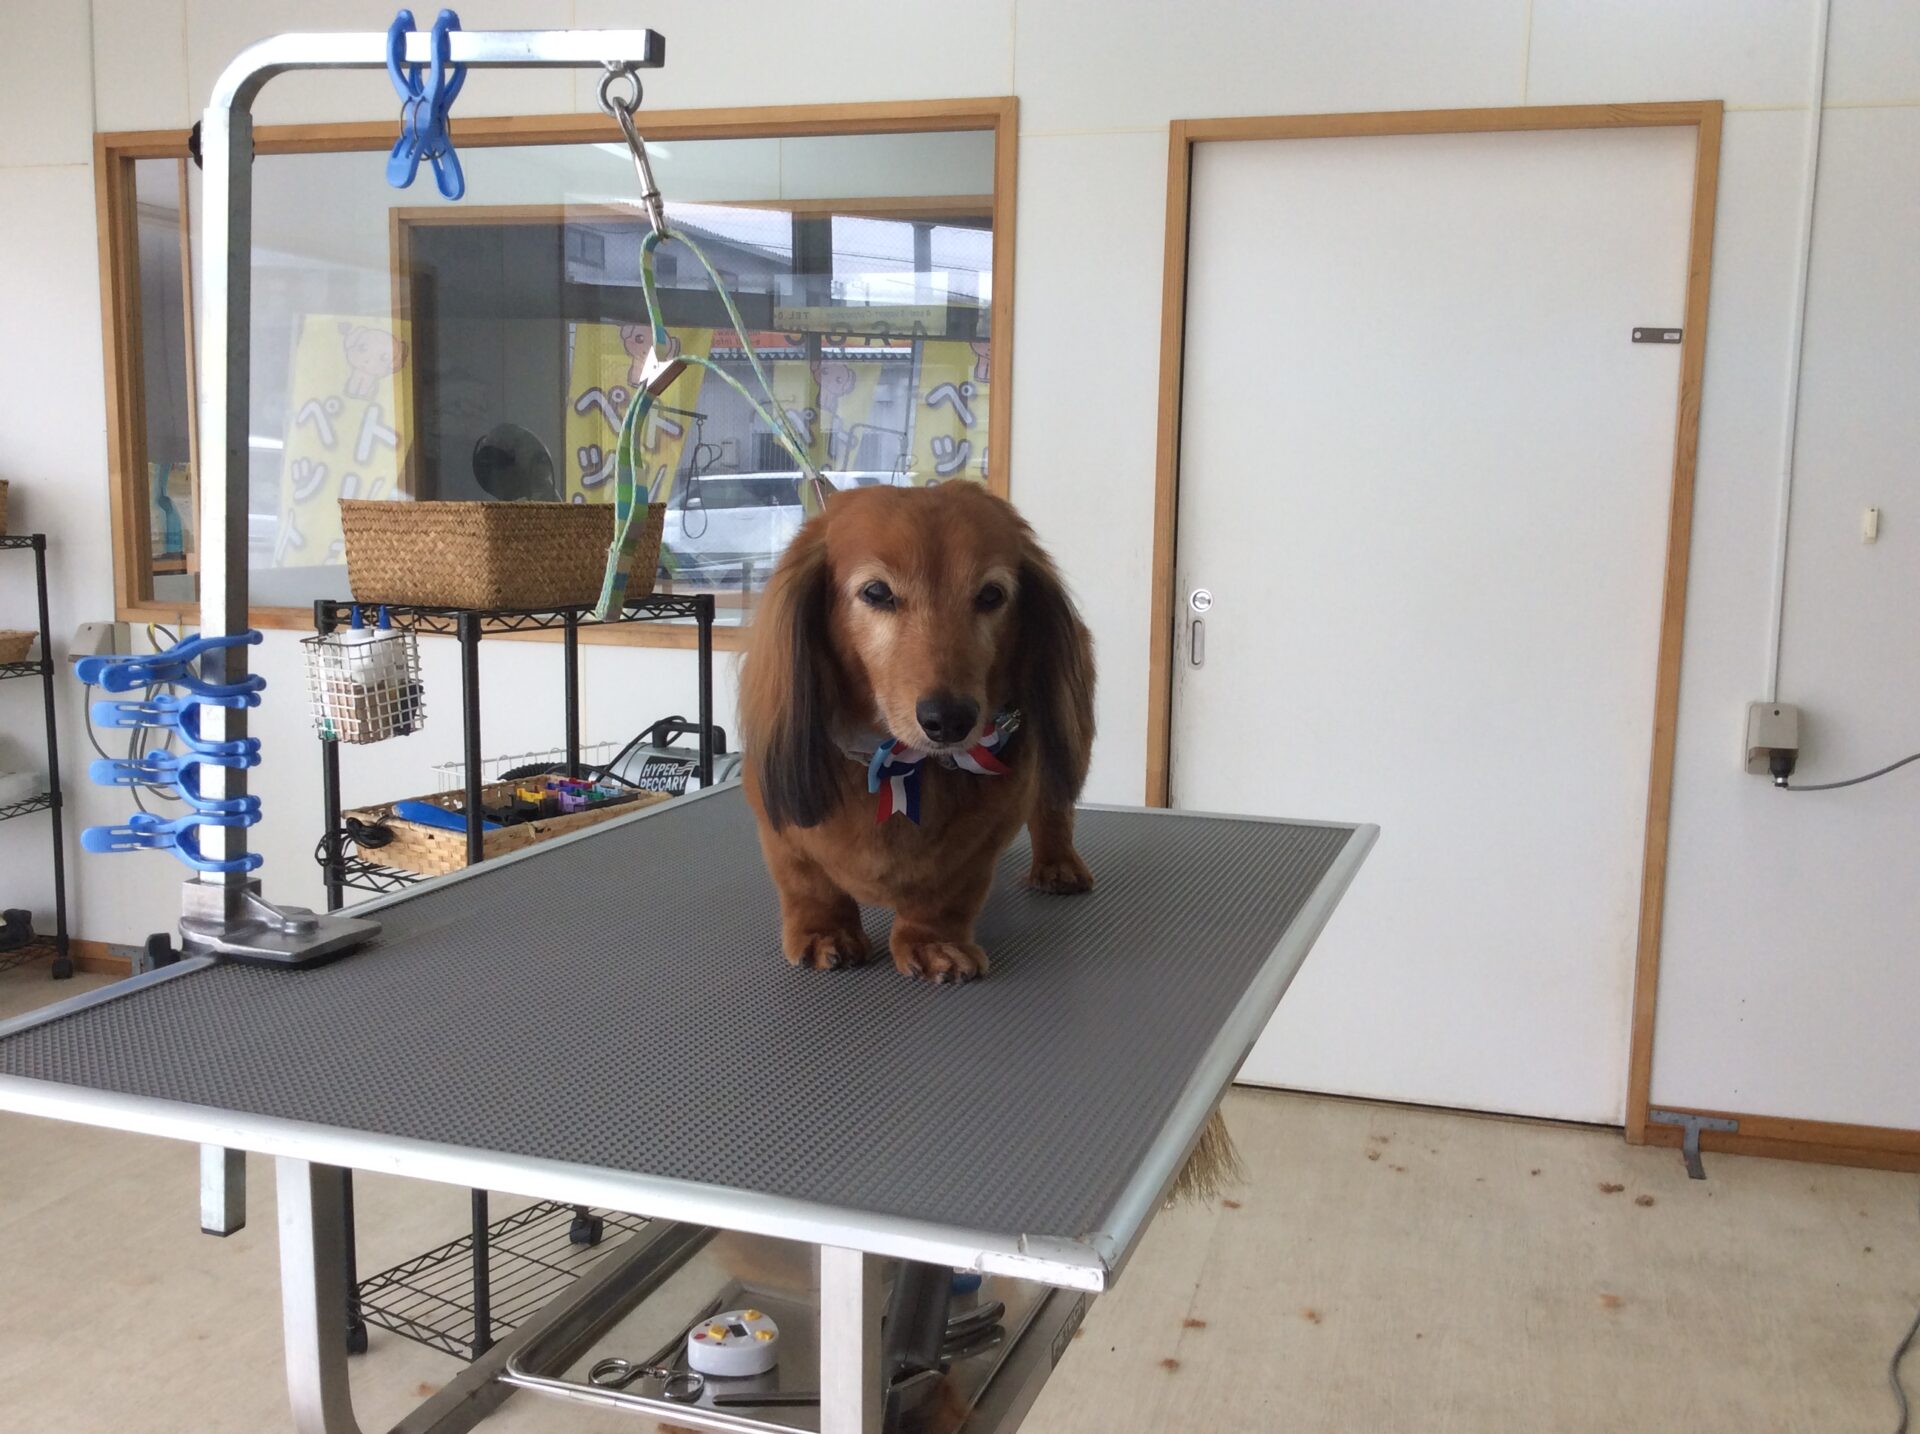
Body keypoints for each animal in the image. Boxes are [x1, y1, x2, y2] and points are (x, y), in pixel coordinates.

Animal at [740, 481, 1096, 983]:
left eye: (991, 595)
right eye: (876, 592)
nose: (949, 720)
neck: (892, 760)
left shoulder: (976, 843)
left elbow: (944, 895)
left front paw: (934, 944)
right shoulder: (782, 828)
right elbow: (809, 883)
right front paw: (824, 932)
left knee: (1055, 807)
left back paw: (1058, 863)